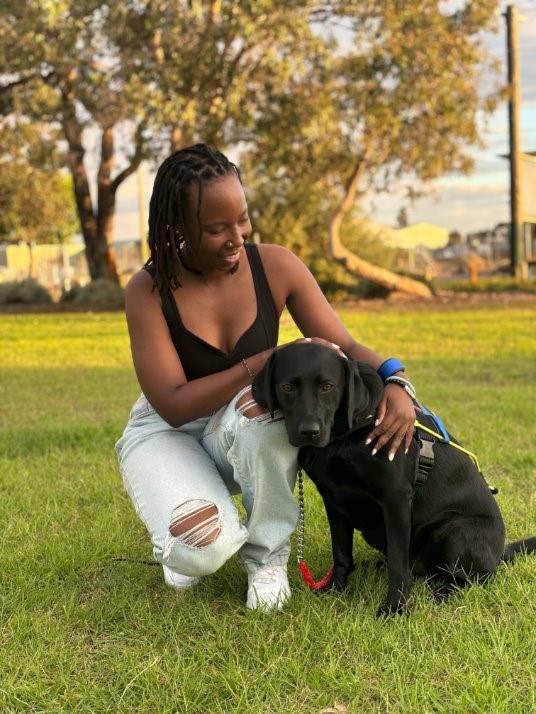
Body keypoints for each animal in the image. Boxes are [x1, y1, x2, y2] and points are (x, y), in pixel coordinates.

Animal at [252, 342, 536, 616]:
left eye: (327, 387)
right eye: (287, 387)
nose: (309, 432)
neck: (346, 434)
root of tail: (500, 552)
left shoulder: (395, 500)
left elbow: (399, 567)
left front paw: (396, 608)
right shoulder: (334, 500)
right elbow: (341, 553)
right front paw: (335, 589)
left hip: (454, 531)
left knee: (471, 579)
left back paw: (442, 593)